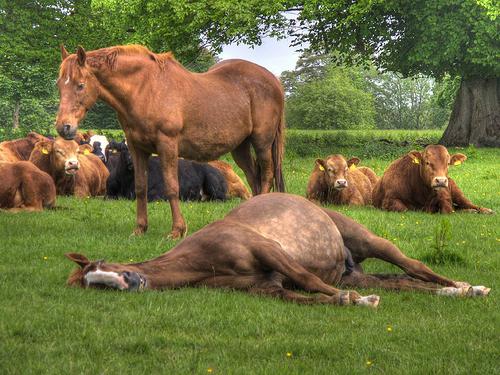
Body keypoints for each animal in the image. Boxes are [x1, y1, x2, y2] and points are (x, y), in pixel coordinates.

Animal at [54, 44, 286, 238]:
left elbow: (172, 187)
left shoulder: (167, 146)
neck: (146, 89)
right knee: (254, 178)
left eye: (80, 85)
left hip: (262, 143)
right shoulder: (138, 149)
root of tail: (273, 80)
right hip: (241, 148)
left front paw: (177, 230)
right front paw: (140, 229)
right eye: (59, 85)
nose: (64, 127)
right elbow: (140, 187)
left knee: (266, 176)